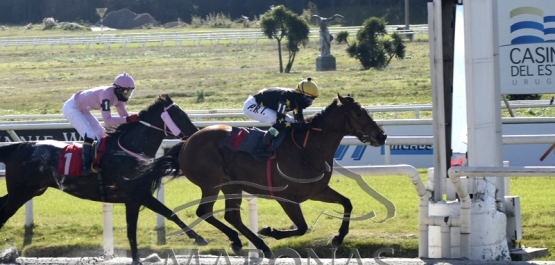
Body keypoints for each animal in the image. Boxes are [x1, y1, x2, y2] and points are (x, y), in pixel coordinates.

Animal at [0, 94, 206, 262]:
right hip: (20, 193)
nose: (195, 133)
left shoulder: (136, 198)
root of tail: (19, 146)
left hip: (29, 191)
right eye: (179, 116)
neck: (127, 151)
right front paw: (198, 238)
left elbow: (149, 223)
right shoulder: (137, 196)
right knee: (3, 215)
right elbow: (160, 217)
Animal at [138, 93, 384, 258]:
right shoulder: (287, 197)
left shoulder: (317, 191)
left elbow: (347, 203)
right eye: (359, 113)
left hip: (231, 185)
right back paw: (249, 243)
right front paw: (270, 231)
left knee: (231, 216)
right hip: (212, 183)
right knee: (205, 211)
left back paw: (250, 244)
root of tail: (188, 141)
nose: (382, 135)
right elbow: (302, 227)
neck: (308, 148)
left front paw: (338, 238)